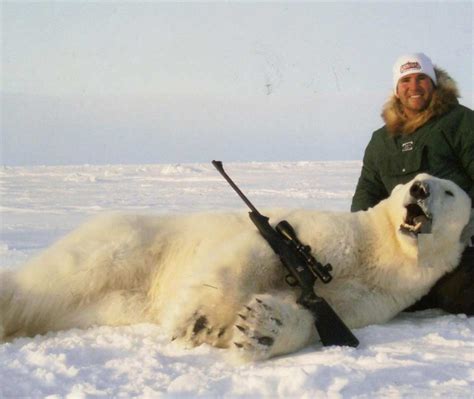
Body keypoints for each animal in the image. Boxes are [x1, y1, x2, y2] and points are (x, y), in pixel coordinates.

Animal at [0, 173, 472, 362]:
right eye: (413, 177)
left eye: (450, 191)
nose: (419, 188)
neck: (381, 251)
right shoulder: (319, 235)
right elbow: (256, 250)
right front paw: (201, 321)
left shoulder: (375, 296)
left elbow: (317, 315)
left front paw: (259, 326)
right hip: (124, 243)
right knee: (65, 275)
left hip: (119, 301)